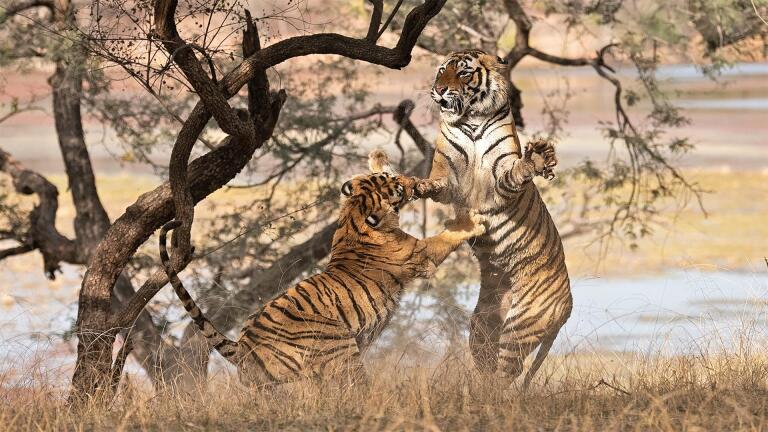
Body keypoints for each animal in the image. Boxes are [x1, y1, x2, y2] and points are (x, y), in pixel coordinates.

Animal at [159, 156, 487, 386]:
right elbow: (446, 237)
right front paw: (474, 220)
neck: (355, 213)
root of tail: (243, 346)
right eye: (396, 185)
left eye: (392, 176)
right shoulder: (420, 254)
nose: (415, 183)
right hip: (342, 351)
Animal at [415, 49, 572, 388]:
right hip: (482, 327)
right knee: (489, 370)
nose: (439, 89)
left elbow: (515, 173)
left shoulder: (500, 175)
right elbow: (435, 184)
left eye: (463, 73)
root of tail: (568, 307)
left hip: (520, 325)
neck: (471, 121)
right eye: (441, 70)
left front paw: (535, 159)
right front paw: (417, 186)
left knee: (505, 376)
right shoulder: (447, 176)